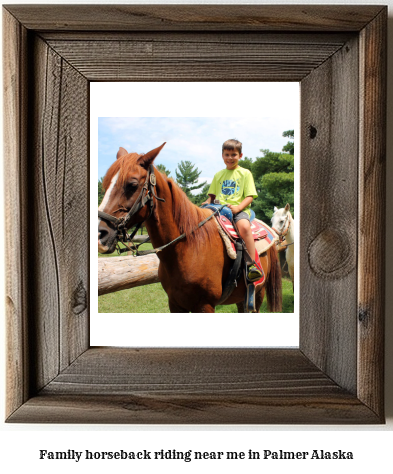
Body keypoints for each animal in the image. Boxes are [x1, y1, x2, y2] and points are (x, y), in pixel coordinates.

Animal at [98, 144, 282, 314]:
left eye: (132, 184)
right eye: (106, 184)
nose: (100, 234)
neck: (188, 247)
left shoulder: (205, 306)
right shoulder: (175, 304)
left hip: (257, 294)